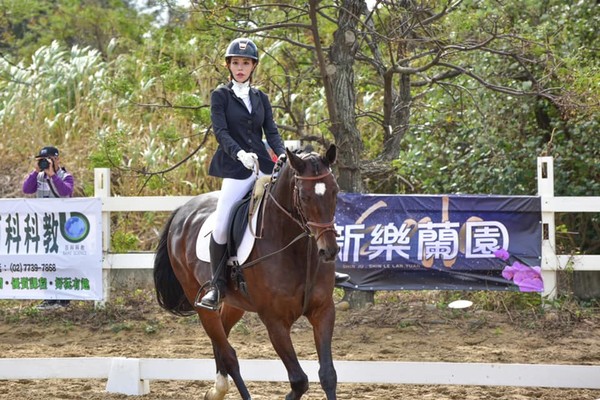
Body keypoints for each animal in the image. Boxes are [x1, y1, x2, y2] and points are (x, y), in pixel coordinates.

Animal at [152, 145, 340, 400]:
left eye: (335, 191)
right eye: (304, 196)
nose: (329, 251)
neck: (298, 250)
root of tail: (183, 210)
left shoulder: (323, 311)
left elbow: (328, 375)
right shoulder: (274, 321)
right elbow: (299, 380)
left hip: (234, 303)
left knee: (221, 340)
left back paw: (217, 389)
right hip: (199, 300)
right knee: (229, 354)